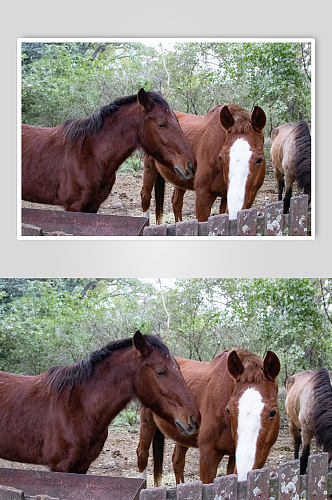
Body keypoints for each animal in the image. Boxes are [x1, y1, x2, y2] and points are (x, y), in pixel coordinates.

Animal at [137, 348, 280, 484]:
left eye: (273, 412)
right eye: (228, 410)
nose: (244, 473)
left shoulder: (234, 456)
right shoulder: (208, 455)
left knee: (177, 462)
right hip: (147, 423)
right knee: (142, 455)